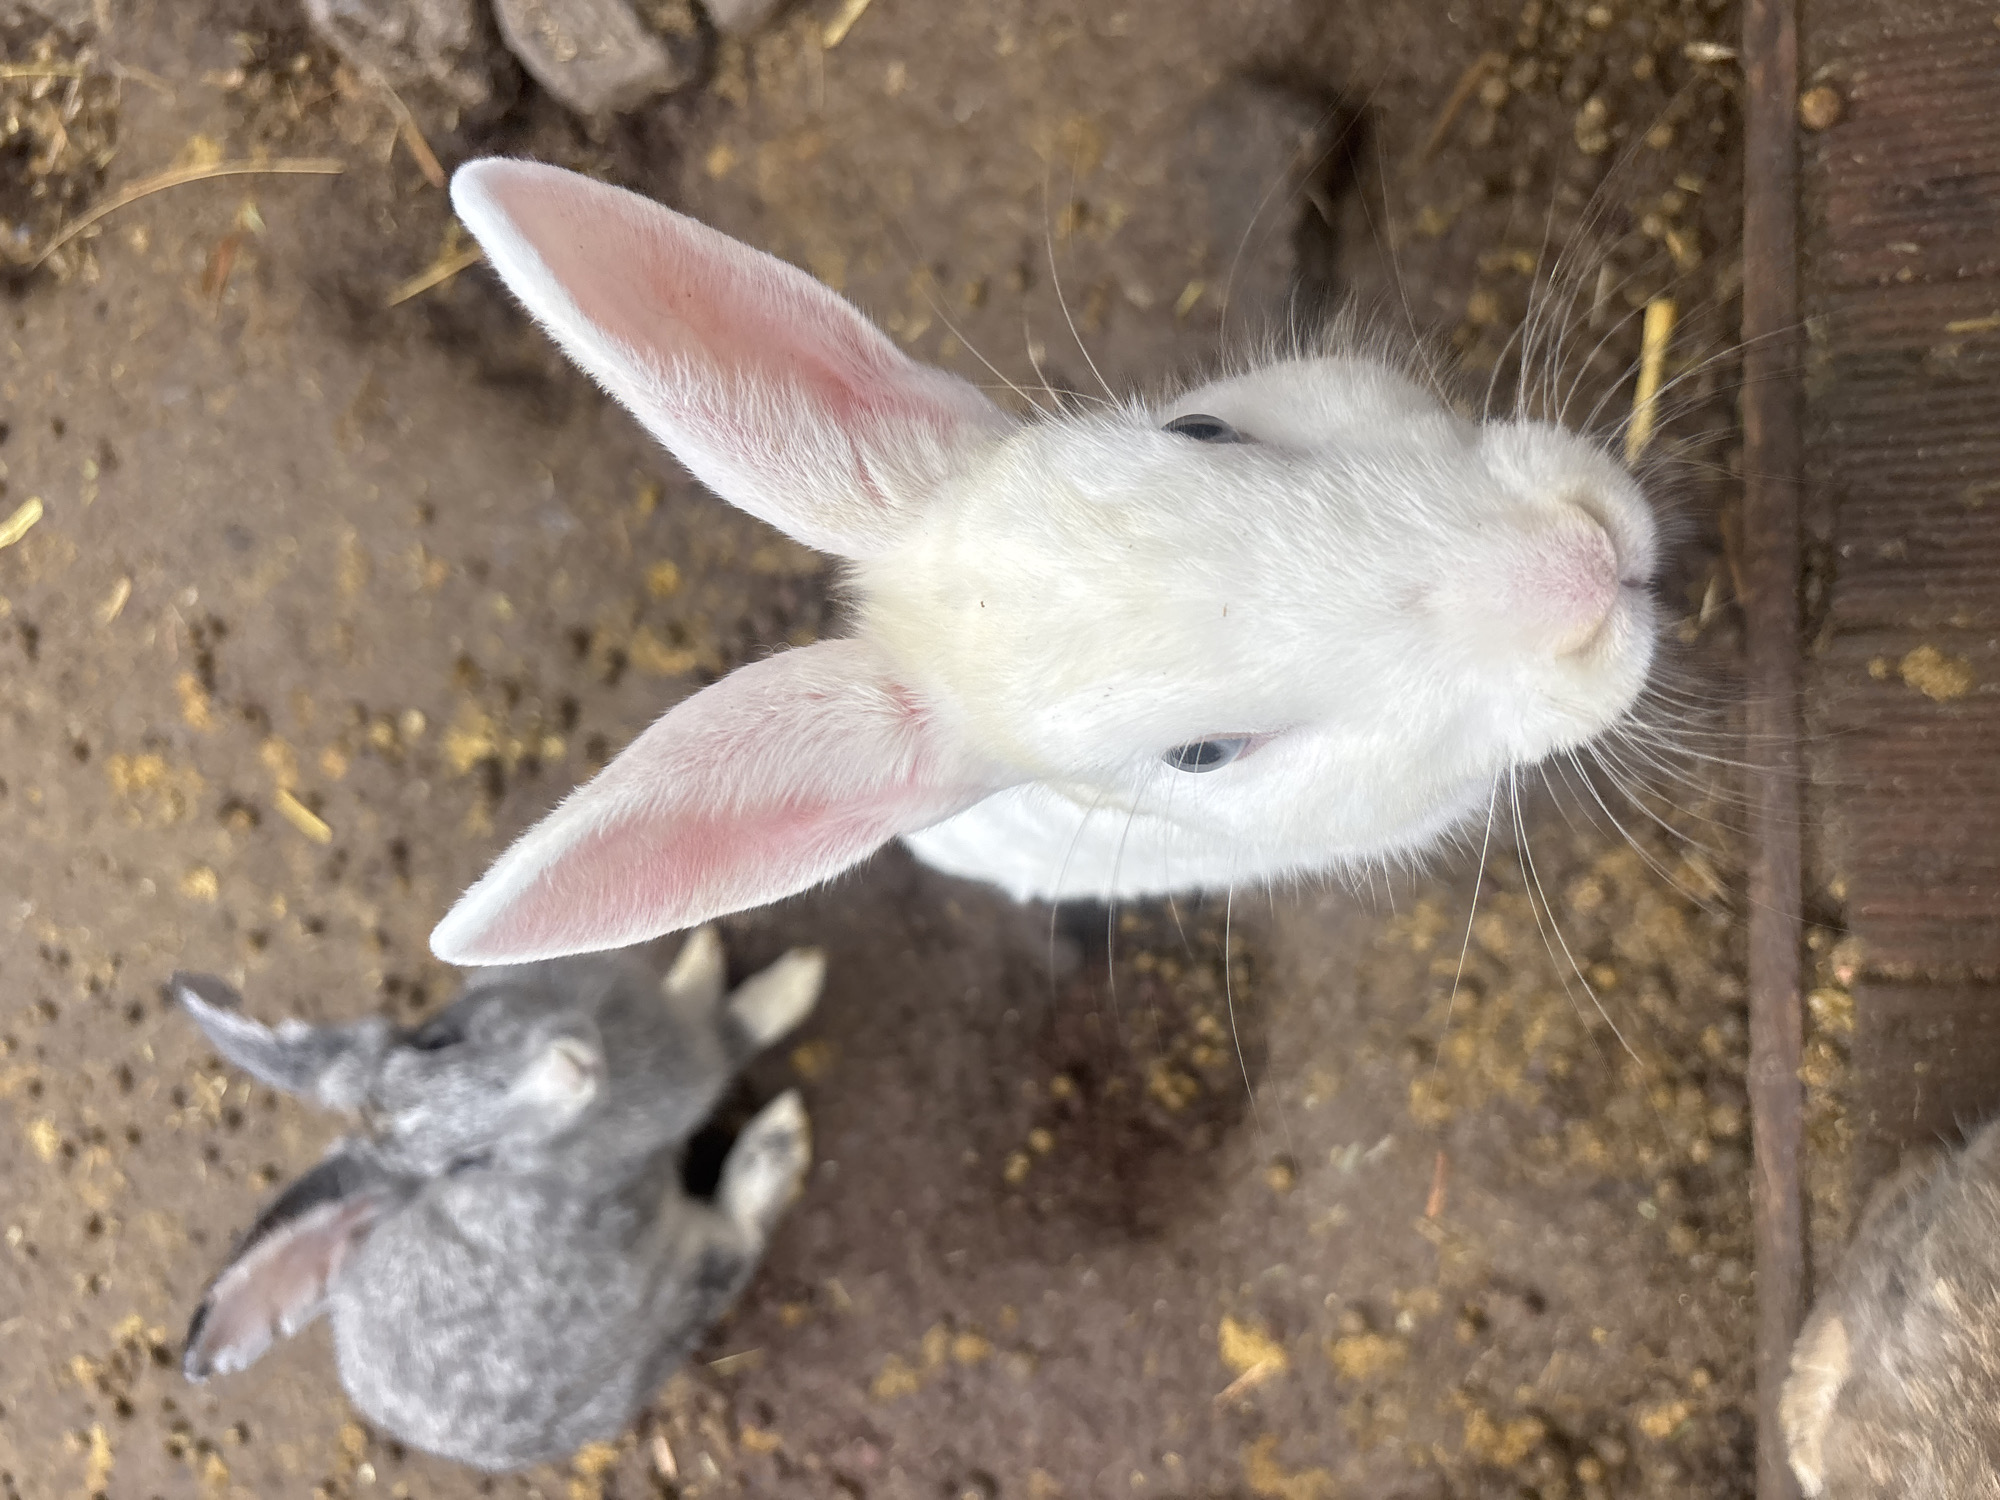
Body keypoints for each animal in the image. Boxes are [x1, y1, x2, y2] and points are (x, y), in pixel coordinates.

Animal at [173, 927, 822, 1470]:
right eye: (470, 1164)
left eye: (436, 1040)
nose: (568, 1073)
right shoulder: (689, 1068)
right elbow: (727, 1033)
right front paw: (792, 981)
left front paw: (700, 958)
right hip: (675, 1284)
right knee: (735, 1249)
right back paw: (779, 1139)